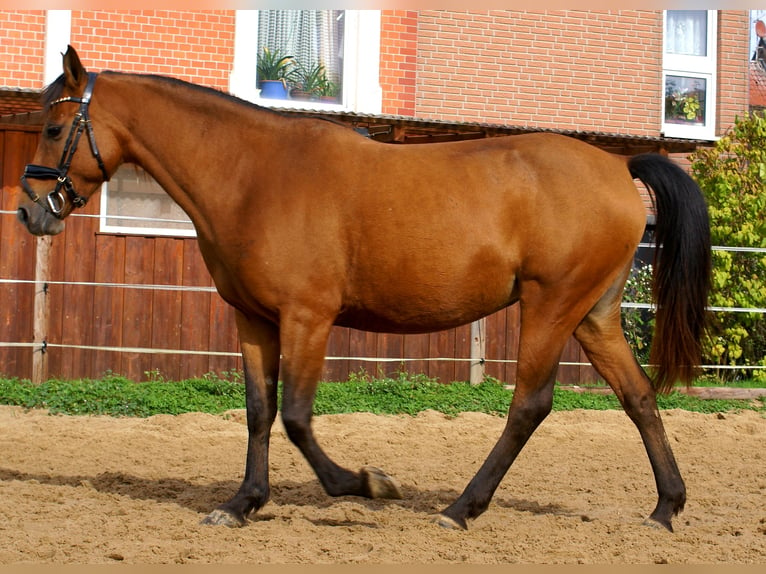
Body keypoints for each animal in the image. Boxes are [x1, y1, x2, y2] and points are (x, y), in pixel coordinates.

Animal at [18, 47, 712, 532]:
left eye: (53, 128)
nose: (29, 212)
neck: (254, 174)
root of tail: (617, 166)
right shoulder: (253, 318)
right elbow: (259, 412)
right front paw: (242, 503)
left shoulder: (308, 317)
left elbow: (297, 418)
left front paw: (368, 483)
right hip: (593, 314)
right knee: (639, 397)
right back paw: (666, 507)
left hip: (551, 306)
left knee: (530, 405)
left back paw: (460, 508)